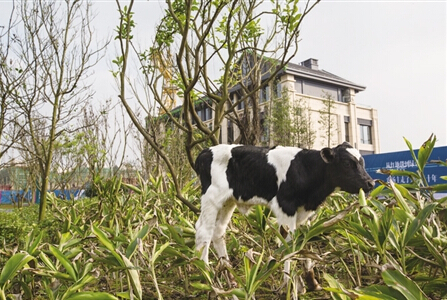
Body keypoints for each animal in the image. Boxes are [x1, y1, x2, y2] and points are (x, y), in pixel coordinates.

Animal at [195, 142, 374, 268]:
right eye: (347, 163)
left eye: (362, 162)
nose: (370, 183)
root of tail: (204, 152)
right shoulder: (285, 206)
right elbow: (288, 245)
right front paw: (288, 284)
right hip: (212, 198)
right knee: (204, 231)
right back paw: (207, 273)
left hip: (228, 201)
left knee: (218, 231)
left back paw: (226, 269)